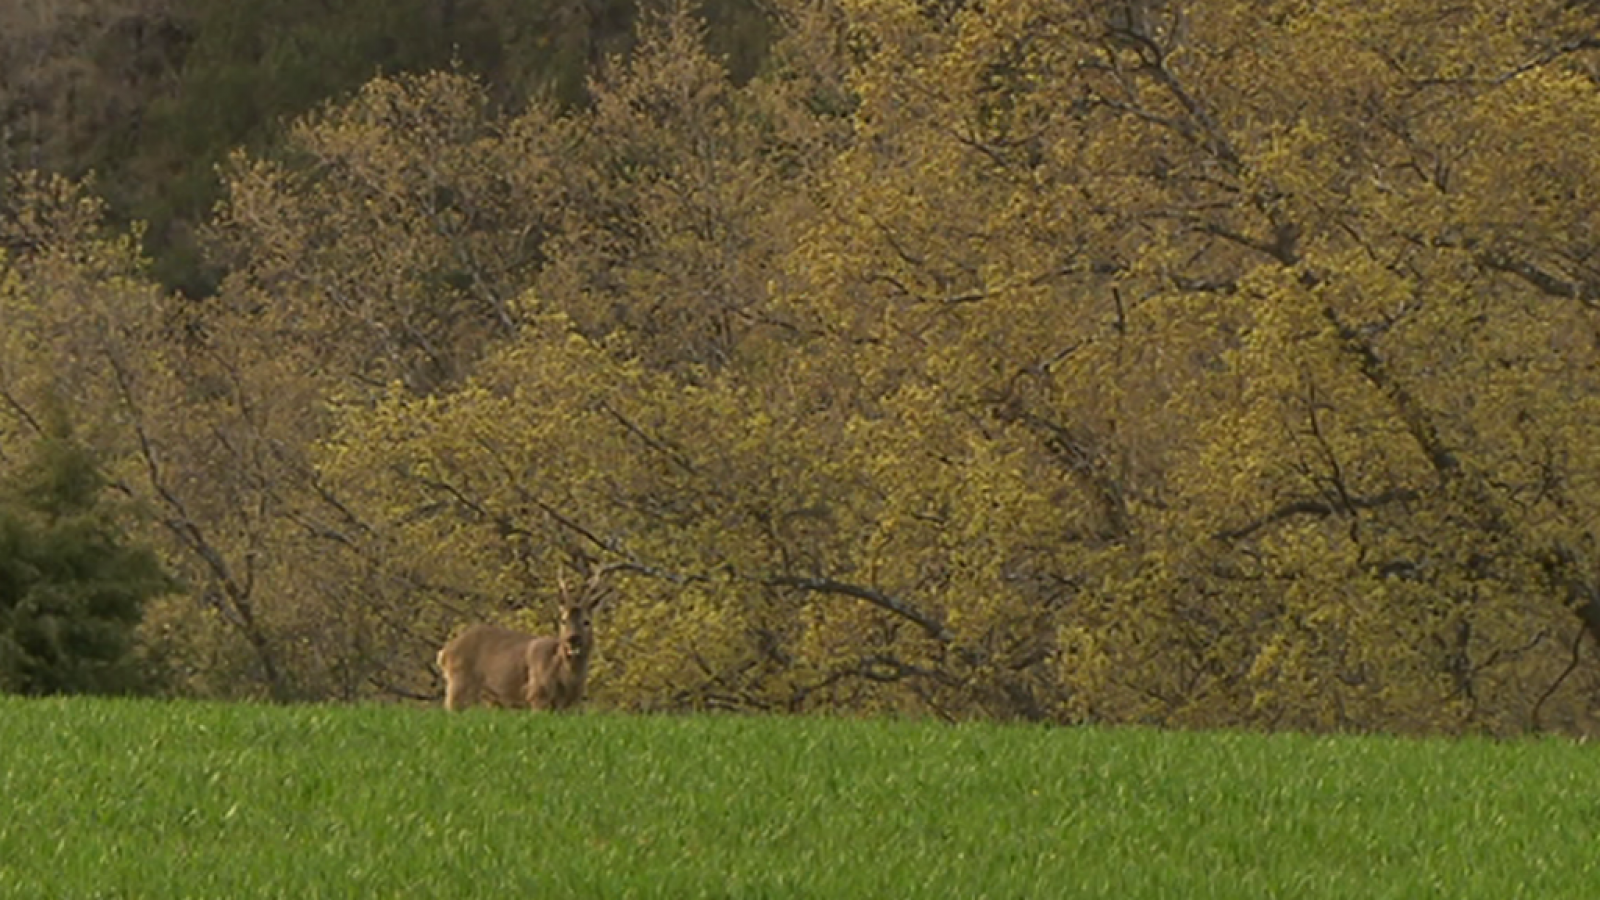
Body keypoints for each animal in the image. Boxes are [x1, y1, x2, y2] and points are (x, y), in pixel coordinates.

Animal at [438, 566, 611, 707]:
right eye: (563, 620)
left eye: (586, 622)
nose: (573, 638)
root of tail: (444, 652)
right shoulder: (536, 695)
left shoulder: (574, 703)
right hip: (458, 685)